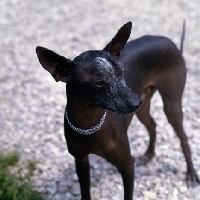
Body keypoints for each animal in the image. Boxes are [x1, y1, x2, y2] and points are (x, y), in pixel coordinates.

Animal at [35, 21, 198, 199]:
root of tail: (172, 44)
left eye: (123, 73)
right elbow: (85, 192)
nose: (136, 101)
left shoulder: (127, 166)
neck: (90, 124)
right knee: (153, 125)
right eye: (99, 83)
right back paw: (150, 154)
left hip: (170, 105)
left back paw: (191, 174)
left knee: (184, 139)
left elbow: (128, 194)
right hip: (142, 109)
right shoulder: (81, 161)